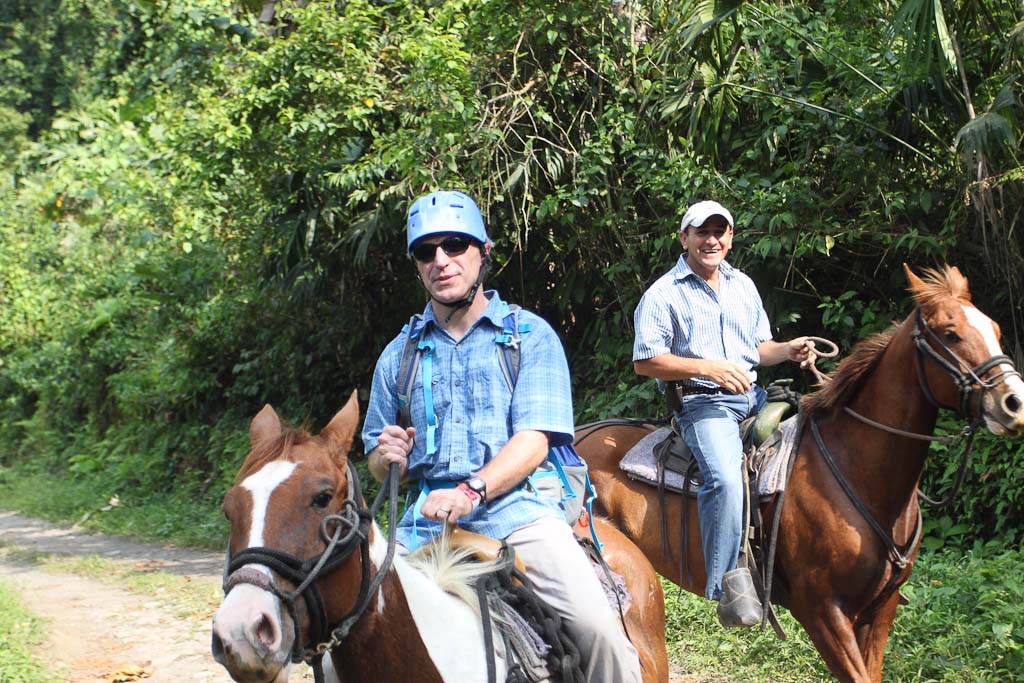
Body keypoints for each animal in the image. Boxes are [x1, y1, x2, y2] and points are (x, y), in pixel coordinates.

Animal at [577, 266, 1024, 683]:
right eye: (951, 333)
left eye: (995, 329)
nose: (1013, 403)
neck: (855, 470)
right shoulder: (823, 613)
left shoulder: (880, 610)